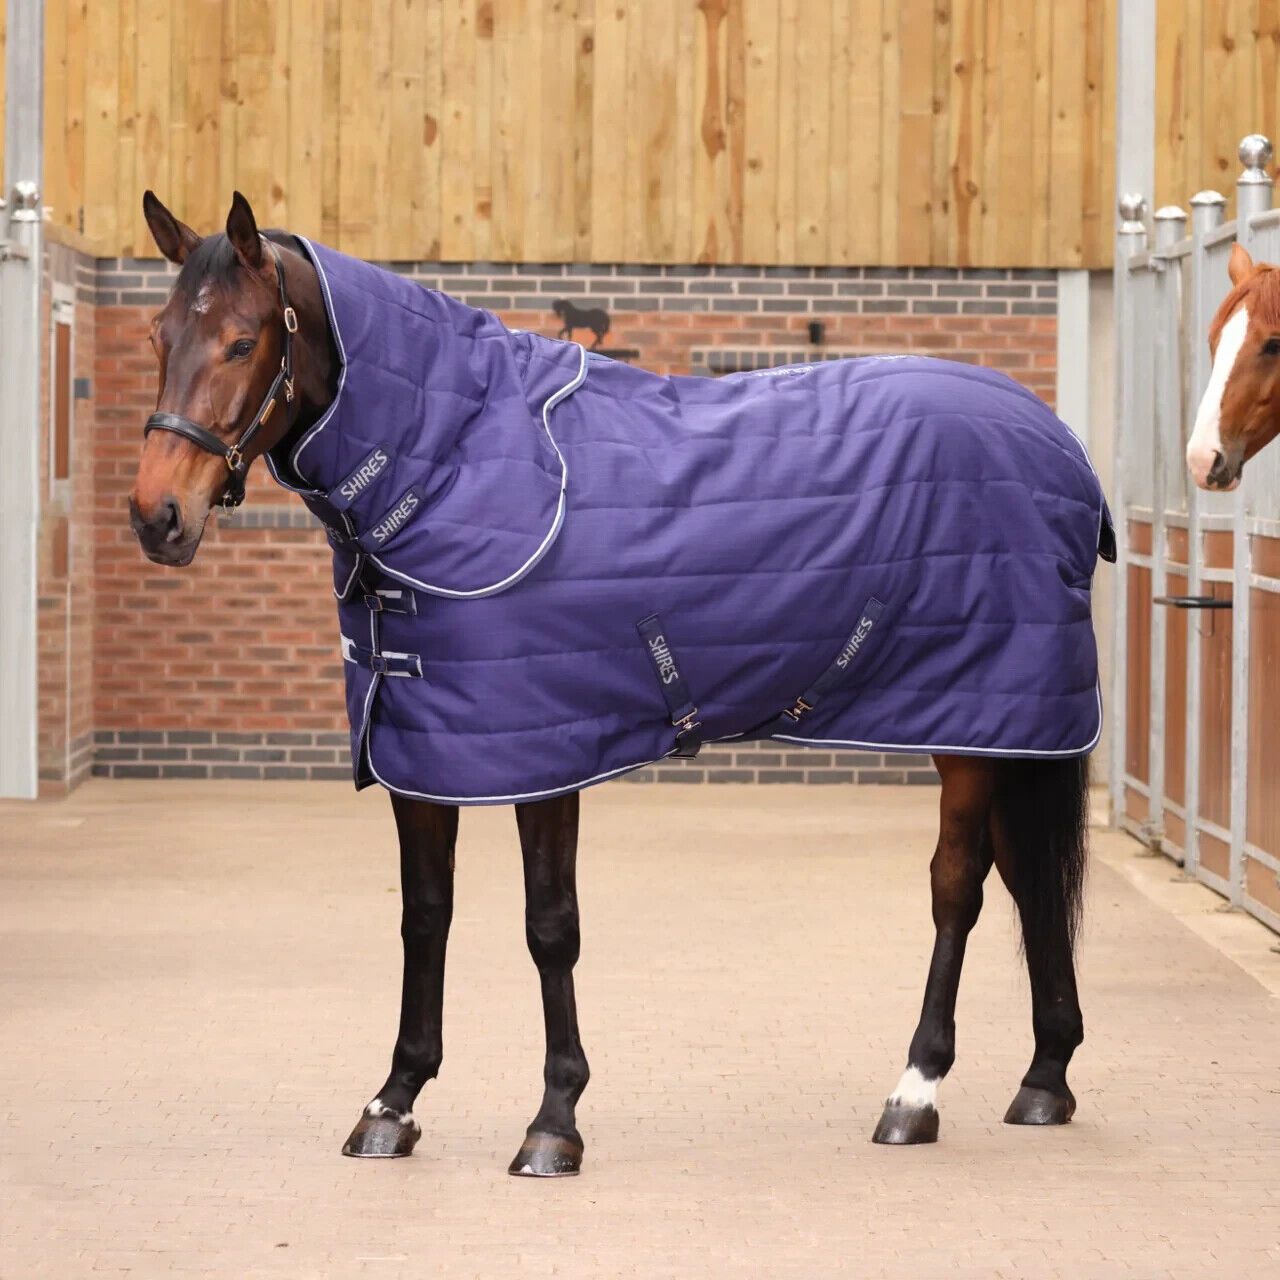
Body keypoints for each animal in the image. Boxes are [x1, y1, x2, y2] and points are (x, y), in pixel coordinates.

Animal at [129, 190, 1104, 1176]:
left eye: (243, 342)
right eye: (159, 337)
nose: (156, 516)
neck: (447, 457)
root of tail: (1059, 445)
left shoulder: (544, 752)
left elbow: (548, 926)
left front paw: (553, 1120)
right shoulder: (420, 745)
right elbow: (426, 916)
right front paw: (393, 1103)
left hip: (974, 722)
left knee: (960, 886)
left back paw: (916, 1090)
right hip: (1001, 727)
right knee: (1025, 877)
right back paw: (1046, 1078)